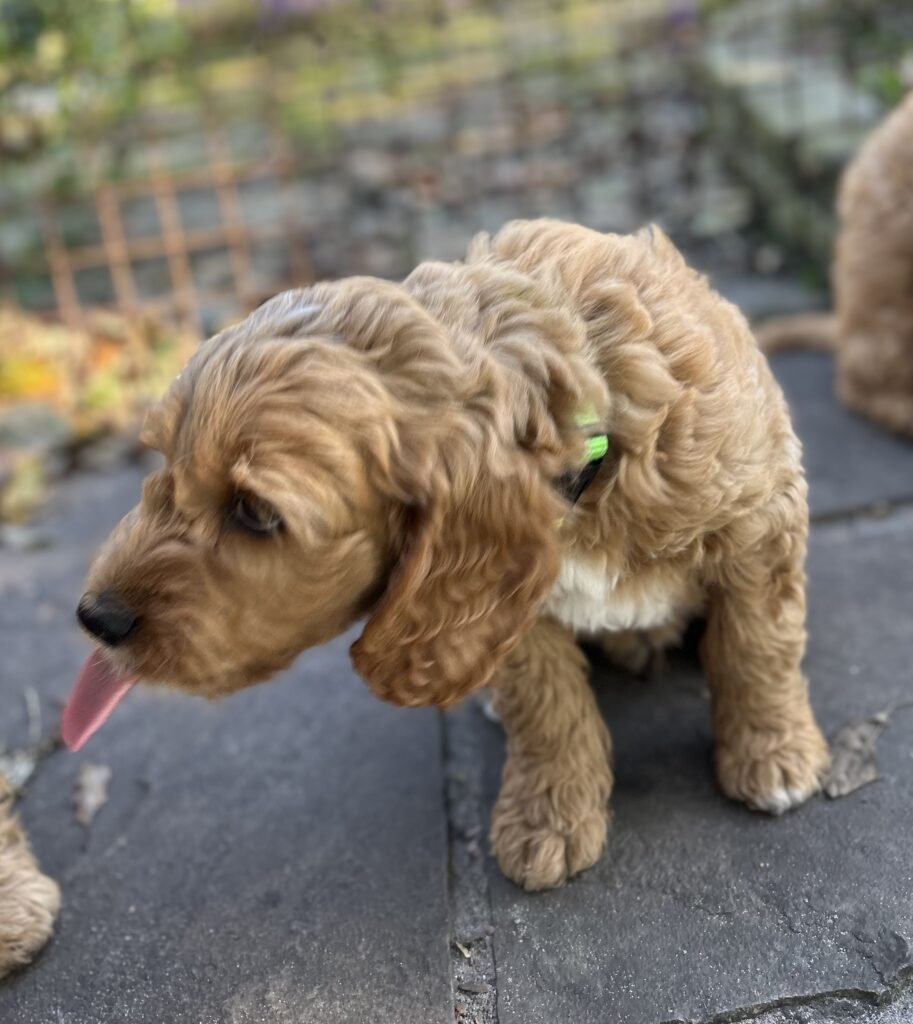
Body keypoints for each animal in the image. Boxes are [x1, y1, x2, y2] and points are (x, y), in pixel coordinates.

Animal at [63, 219, 830, 891]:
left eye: (254, 512)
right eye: (162, 459)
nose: (95, 618)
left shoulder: (758, 525)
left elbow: (754, 644)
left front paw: (773, 754)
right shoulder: (508, 610)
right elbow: (545, 704)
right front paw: (548, 818)